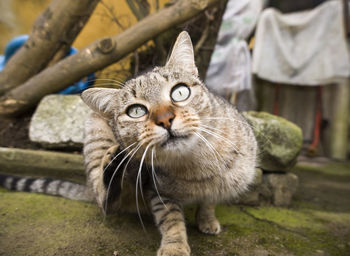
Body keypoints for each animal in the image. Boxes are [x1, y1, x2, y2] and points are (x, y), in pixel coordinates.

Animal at [81, 31, 258, 255]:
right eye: (136, 111)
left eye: (180, 92)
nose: (165, 119)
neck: (195, 164)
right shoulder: (158, 192)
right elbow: (171, 220)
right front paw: (175, 246)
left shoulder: (216, 186)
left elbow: (209, 201)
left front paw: (207, 220)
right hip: (96, 135)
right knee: (105, 200)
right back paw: (113, 163)